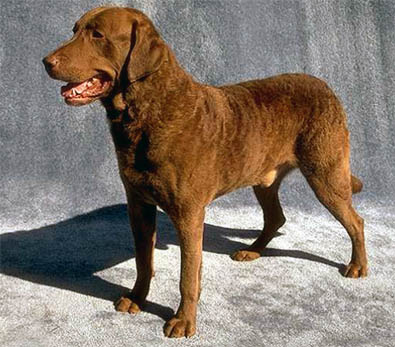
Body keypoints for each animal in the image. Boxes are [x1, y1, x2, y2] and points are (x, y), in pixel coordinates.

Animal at [43, 6, 368, 340]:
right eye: (75, 30)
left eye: (97, 35)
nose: (46, 61)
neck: (145, 113)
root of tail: (325, 85)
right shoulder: (138, 205)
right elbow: (144, 261)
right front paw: (136, 298)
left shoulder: (189, 213)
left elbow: (188, 274)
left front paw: (183, 321)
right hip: (265, 178)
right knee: (276, 217)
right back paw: (252, 251)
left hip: (325, 172)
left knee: (355, 220)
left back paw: (357, 266)